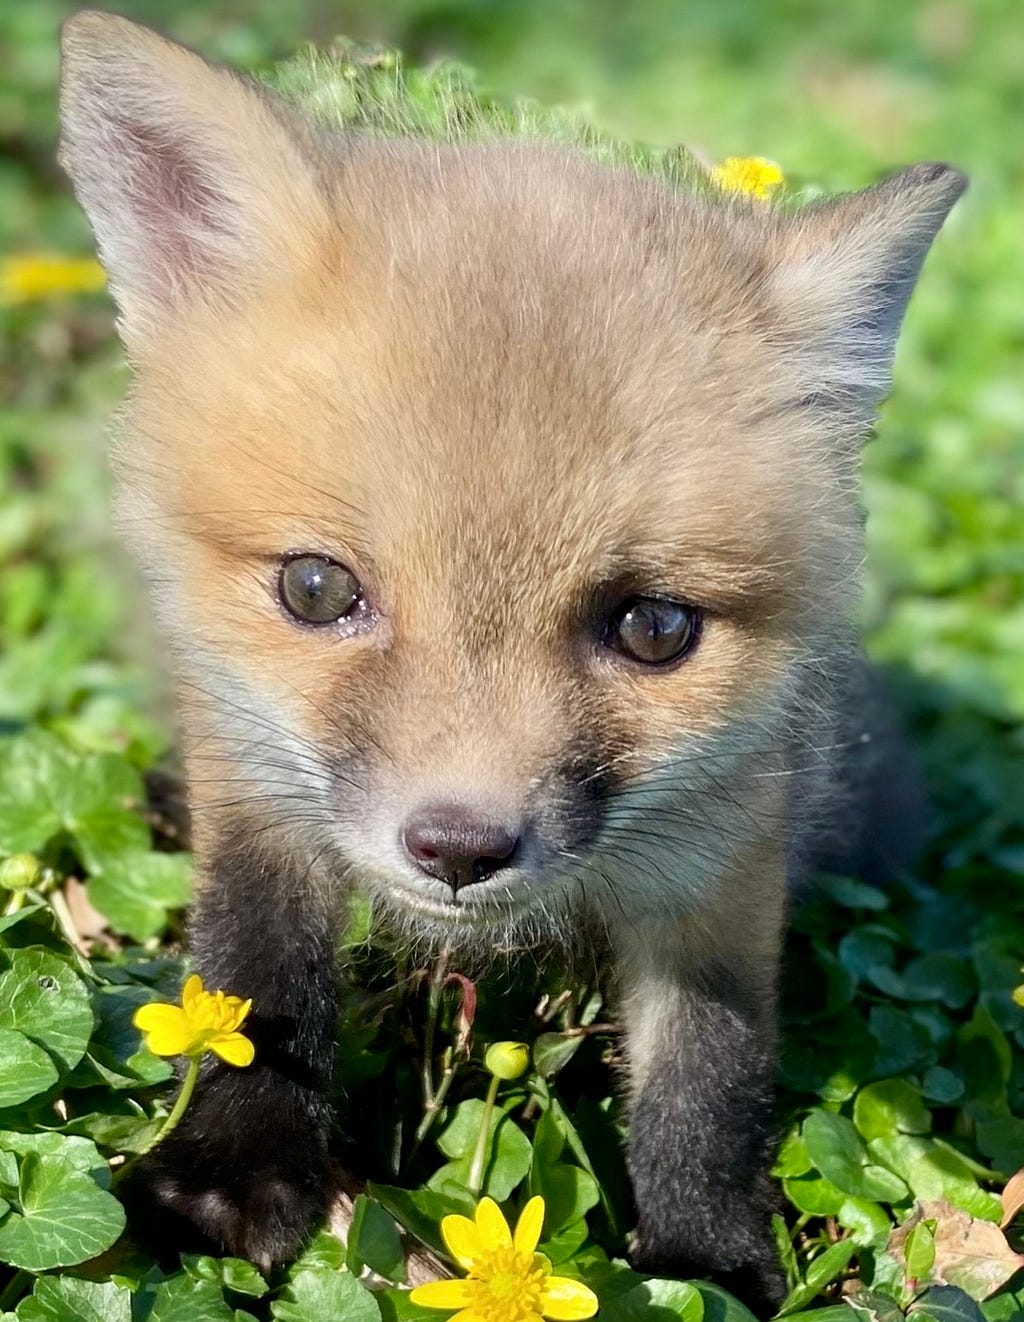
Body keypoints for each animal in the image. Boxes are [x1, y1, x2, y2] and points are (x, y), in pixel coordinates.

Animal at [58, 10, 967, 1311]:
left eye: (654, 628)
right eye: (316, 588)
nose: (458, 848)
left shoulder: (724, 856)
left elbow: (711, 1074)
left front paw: (705, 1264)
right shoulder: (259, 782)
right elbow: (254, 972)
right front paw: (232, 1171)